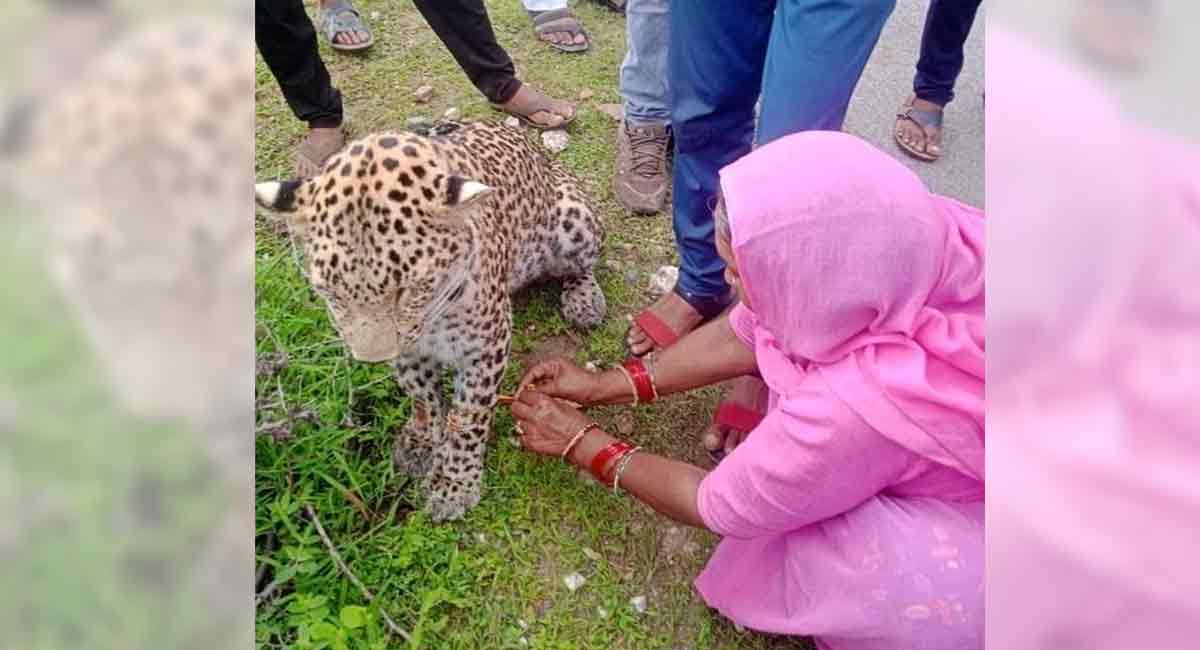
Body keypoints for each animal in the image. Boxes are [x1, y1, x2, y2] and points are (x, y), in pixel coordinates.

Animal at [255, 120, 607, 521]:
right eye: (331, 292)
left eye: (408, 289)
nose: (372, 359)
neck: (432, 315)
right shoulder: (409, 348)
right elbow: (421, 394)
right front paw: (422, 443)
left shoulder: (486, 345)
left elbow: (469, 416)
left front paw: (455, 485)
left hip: (575, 221)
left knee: (584, 264)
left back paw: (585, 300)